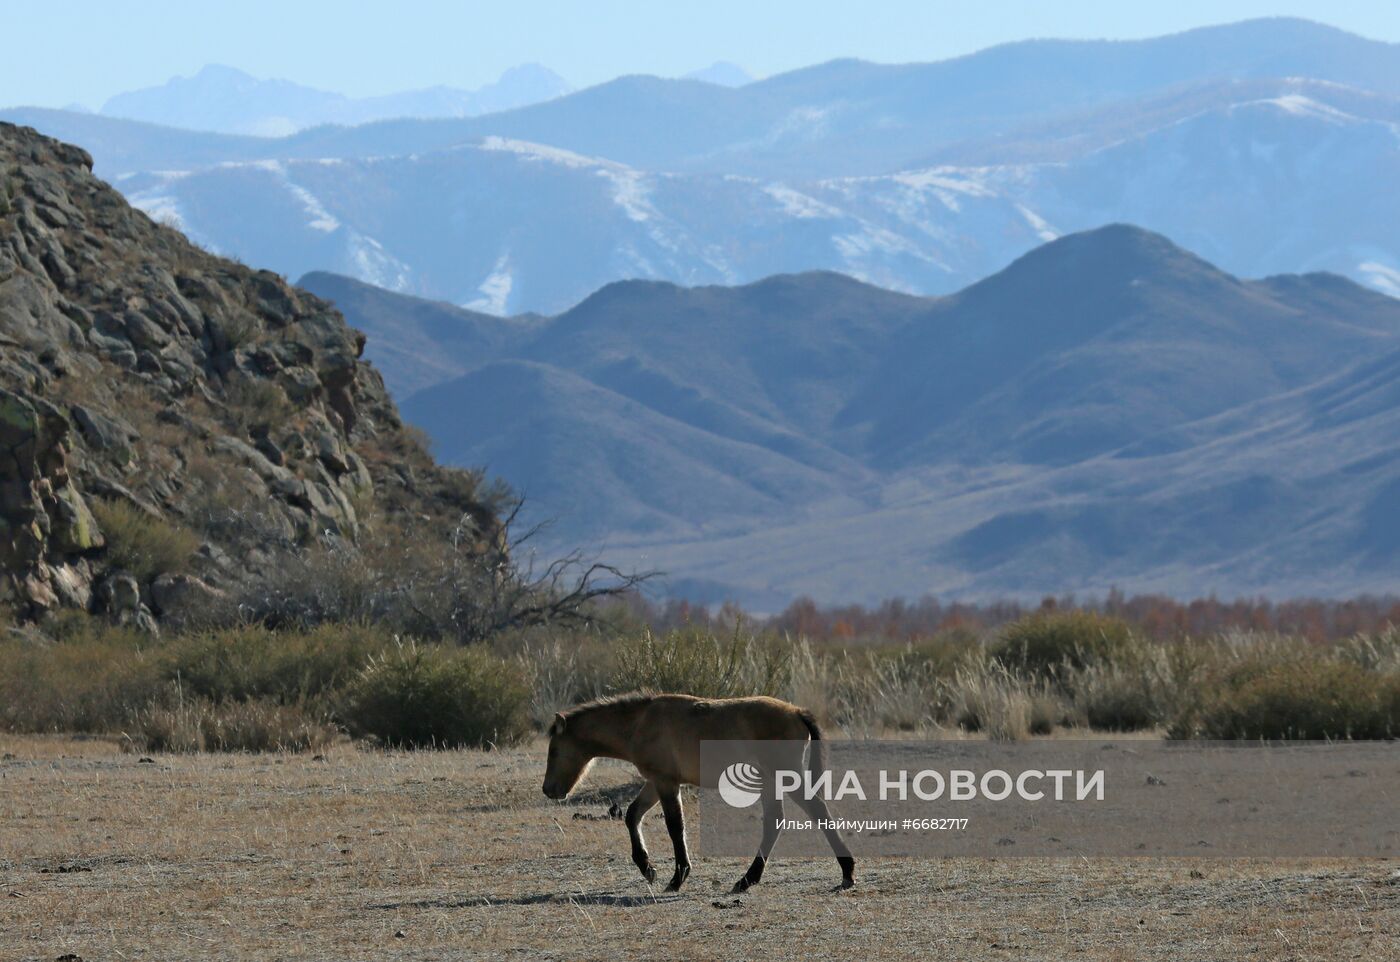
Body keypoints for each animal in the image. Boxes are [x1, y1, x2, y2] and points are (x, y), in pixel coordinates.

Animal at [543, 691, 851, 896]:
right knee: (779, 821)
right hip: (771, 781)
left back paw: (846, 872)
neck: (640, 723)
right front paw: (647, 867)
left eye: (554, 749)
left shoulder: (666, 783)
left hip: (784, 778)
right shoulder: (656, 782)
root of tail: (797, 711)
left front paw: (677, 877)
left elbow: (675, 827)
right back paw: (748, 880)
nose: (548, 789)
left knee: (815, 812)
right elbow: (632, 815)